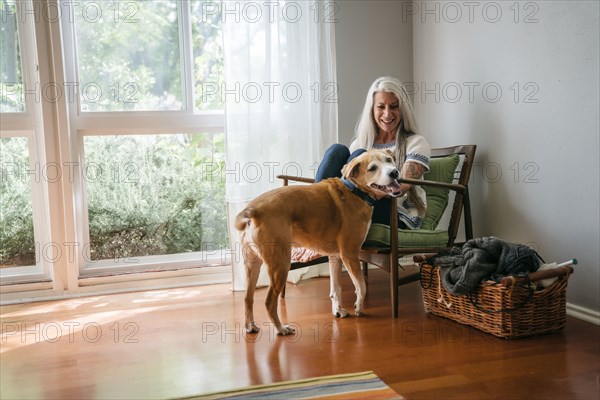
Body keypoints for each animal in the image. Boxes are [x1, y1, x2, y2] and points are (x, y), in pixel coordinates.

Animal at [234, 149, 404, 334]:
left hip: (253, 264)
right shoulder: (350, 254)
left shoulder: (335, 257)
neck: (355, 191)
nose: (394, 172)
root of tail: (253, 209)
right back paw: (281, 329)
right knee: (269, 302)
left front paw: (338, 310)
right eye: (372, 168)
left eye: (389, 160)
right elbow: (361, 286)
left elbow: (336, 288)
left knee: (247, 298)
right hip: (280, 265)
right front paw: (359, 307)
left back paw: (250, 326)